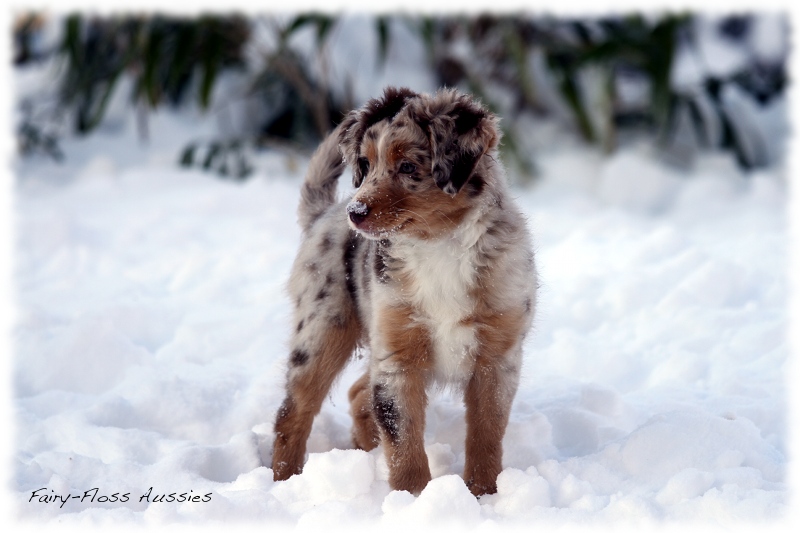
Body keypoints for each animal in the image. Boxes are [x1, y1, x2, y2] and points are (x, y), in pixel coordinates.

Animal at [270, 85, 536, 496]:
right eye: (365, 164)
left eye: (409, 167)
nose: (355, 212)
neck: (439, 245)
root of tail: (322, 215)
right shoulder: (397, 354)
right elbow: (403, 440)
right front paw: (412, 498)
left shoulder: (497, 356)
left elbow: (486, 432)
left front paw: (483, 494)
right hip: (322, 329)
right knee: (293, 412)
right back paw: (284, 483)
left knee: (357, 394)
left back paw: (363, 453)